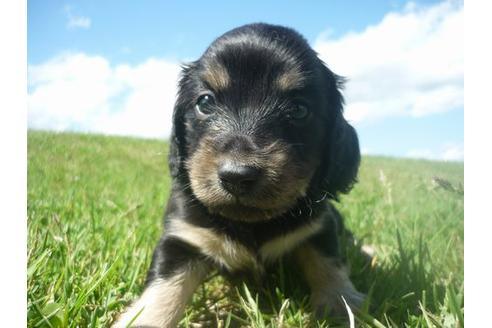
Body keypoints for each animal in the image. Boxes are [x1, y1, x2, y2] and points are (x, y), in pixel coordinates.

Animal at [113, 23, 364, 328]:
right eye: (205, 102)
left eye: (299, 110)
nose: (236, 176)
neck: (251, 224)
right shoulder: (183, 237)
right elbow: (164, 287)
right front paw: (145, 319)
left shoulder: (319, 226)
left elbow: (328, 262)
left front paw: (341, 303)